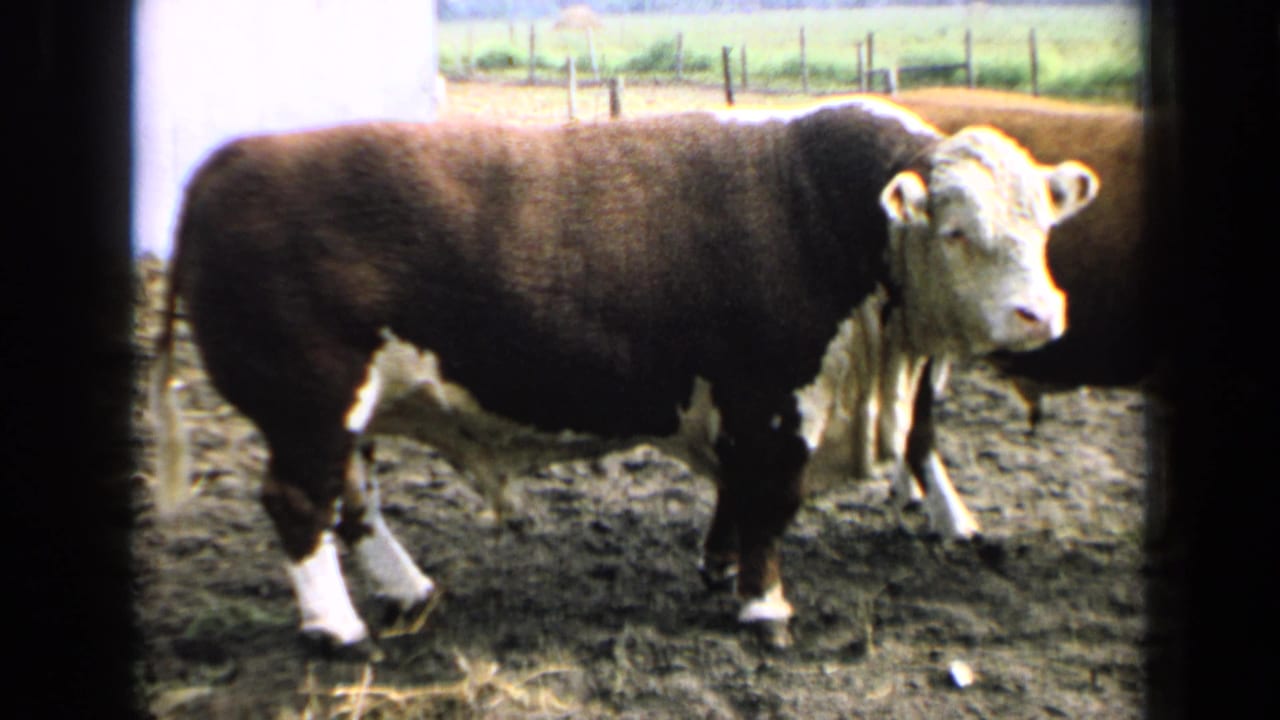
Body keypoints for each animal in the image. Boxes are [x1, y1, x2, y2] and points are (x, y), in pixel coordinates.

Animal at [149, 97, 1098, 652]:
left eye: (1044, 225)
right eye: (957, 233)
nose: (1042, 314)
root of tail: (234, 157)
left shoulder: (738, 405)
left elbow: (734, 498)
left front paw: (719, 568)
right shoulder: (774, 399)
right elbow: (769, 505)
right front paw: (764, 606)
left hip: (346, 410)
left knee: (355, 500)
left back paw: (408, 590)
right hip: (308, 402)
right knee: (300, 504)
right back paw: (337, 626)